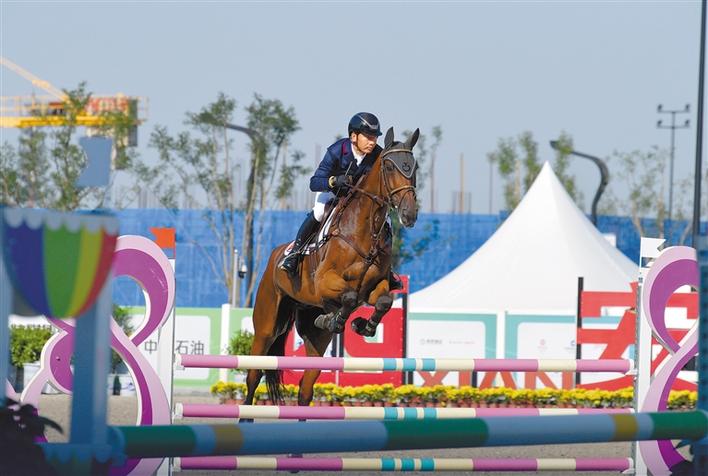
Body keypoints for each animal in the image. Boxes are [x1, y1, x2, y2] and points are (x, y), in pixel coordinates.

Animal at [243, 127, 419, 411]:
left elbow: (383, 302)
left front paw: (362, 326)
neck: (364, 229)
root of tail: (274, 256)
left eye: (414, 167)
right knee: (253, 374)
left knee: (305, 388)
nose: (409, 213)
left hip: (315, 337)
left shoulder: (375, 287)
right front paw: (338, 319)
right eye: (389, 166)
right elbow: (348, 296)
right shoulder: (325, 282)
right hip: (267, 325)